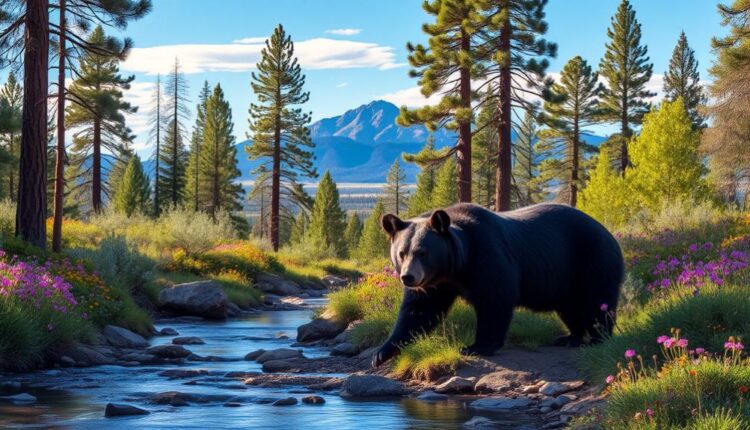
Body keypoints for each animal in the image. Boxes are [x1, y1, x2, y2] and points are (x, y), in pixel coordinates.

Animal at [372, 202, 624, 367]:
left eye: (423, 252)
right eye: (401, 252)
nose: (408, 277)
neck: (458, 265)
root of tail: (609, 233)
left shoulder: (488, 255)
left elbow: (495, 299)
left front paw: (476, 346)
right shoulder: (437, 284)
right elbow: (418, 311)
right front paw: (382, 352)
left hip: (592, 261)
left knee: (596, 302)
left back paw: (597, 338)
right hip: (565, 279)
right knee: (570, 308)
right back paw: (570, 337)